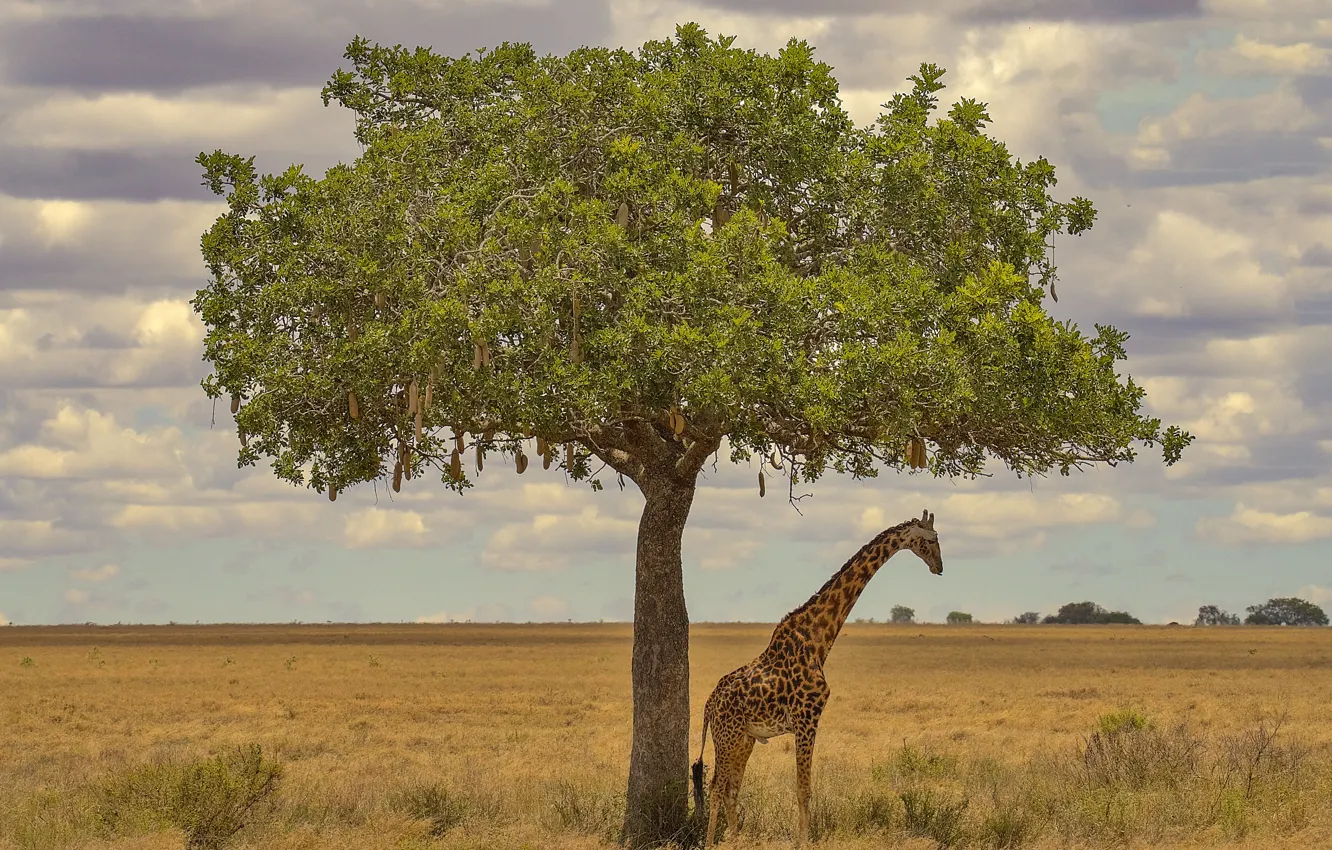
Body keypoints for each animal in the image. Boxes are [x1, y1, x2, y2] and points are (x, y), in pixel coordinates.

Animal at [691, 509, 943, 847]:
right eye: (931, 540)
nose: (939, 567)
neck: (818, 640)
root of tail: (708, 705)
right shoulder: (807, 718)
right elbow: (804, 789)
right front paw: (804, 841)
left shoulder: (804, 721)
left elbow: (801, 788)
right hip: (726, 735)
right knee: (717, 786)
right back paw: (711, 842)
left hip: (745, 738)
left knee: (731, 787)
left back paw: (735, 840)